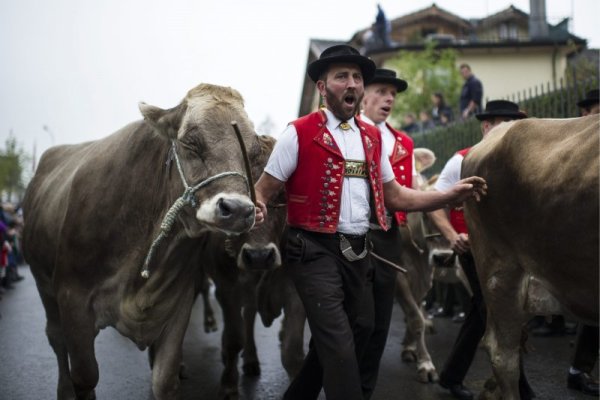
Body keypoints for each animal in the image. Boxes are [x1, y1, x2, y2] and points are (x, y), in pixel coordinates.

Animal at [23, 83, 262, 400]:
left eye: (255, 154)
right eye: (190, 143)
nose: (237, 209)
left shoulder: (177, 302)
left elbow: (164, 380)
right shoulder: (72, 300)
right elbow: (85, 377)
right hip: (42, 281)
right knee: (55, 336)